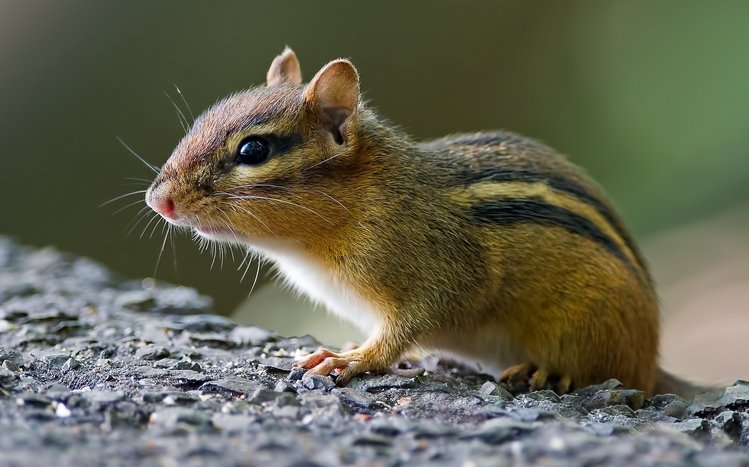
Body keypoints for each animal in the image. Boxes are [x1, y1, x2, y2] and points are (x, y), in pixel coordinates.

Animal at [145, 47, 704, 398]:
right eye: (201, 121)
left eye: (253, 150)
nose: (158, 201)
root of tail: (650, 362)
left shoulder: (436, 274)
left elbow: (406, 329)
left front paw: (353, 359)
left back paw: (546, 373)